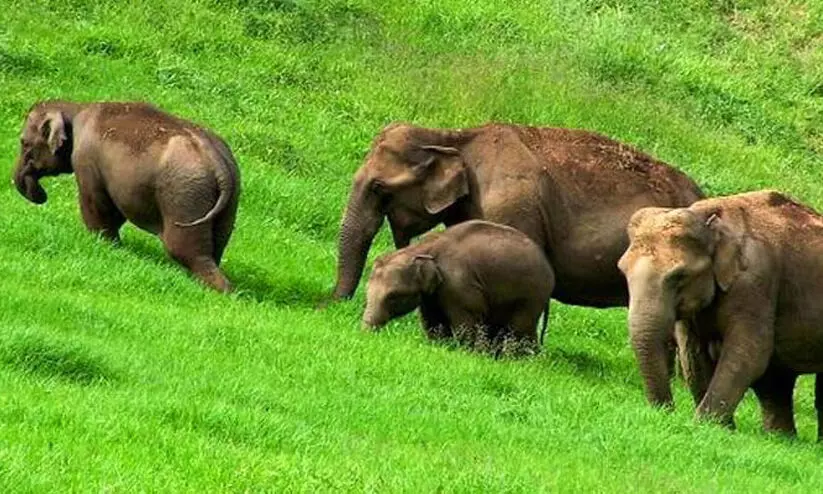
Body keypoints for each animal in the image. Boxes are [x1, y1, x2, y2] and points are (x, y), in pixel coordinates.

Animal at [12, 101, 238, 294]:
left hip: (184, 196)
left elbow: (97, 206)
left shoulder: (86, 161)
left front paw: (103, 243)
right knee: (215, 249)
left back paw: (219, 291)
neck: (77, 107)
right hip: (228, 201)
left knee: (184, 250)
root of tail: (217, 161)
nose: (41, 195)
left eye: (24, 142)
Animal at [616, 189, 823, 436]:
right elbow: (692, 354)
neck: (710, 218)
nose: (667, 410)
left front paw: (706, 427)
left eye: (679, 276)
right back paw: (781, 438)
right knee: (776, 382)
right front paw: (723, 430)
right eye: (622, 270)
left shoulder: (755, 283)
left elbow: (749, 353)